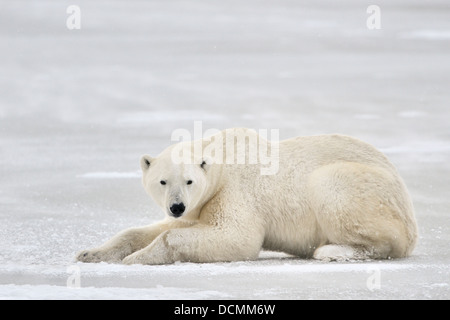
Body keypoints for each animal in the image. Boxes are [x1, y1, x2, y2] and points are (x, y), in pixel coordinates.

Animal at [77, 128, 418, 264]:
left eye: (189, 180)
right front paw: (90, 253)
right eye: (162, 181)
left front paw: (138, 258)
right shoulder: (199, 207)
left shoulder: (233, 191)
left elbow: (236, 236)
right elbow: (156, 229)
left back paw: (333, 250)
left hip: (362, 189)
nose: (176, 206)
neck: (222, 157)